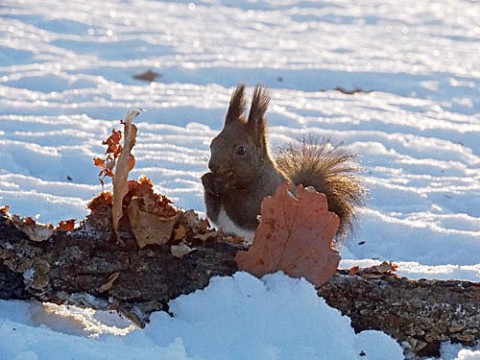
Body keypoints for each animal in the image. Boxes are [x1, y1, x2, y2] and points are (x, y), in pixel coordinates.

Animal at [202, 83, 364, 243]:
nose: (213, 166)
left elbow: (244, 209)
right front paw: (207, 179)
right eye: (213, 143)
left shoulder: (265, 194)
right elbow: (213, 211)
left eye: (241, 150)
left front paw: (223, 185)